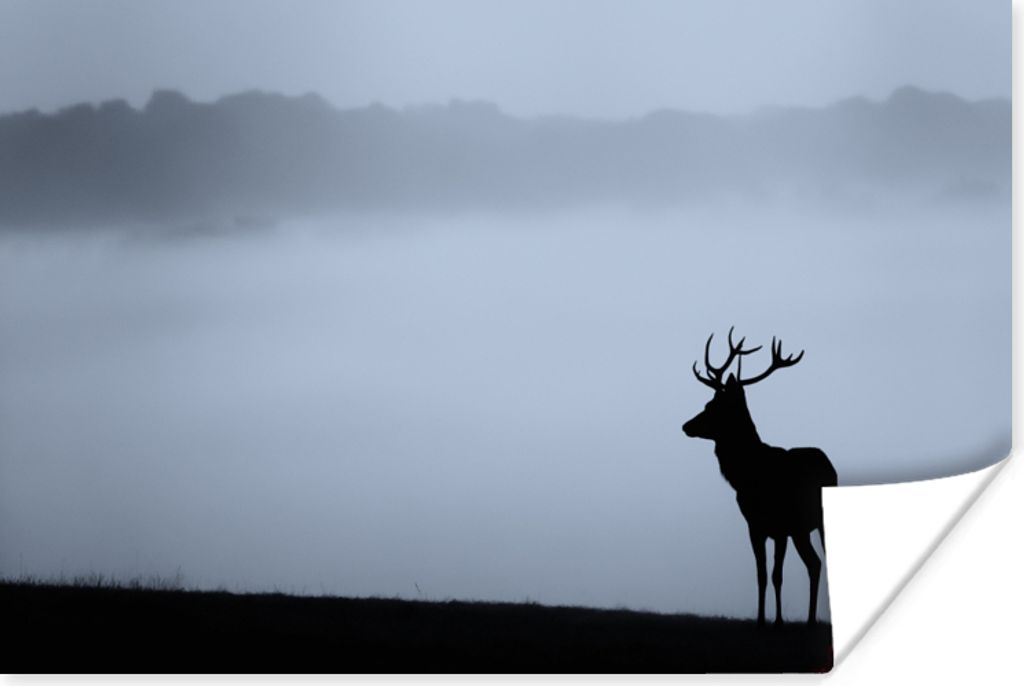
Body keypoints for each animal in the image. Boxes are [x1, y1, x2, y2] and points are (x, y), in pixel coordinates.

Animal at [682, 328, 837, 626]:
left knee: (820, 561)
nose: (686, 425)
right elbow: (762, 575)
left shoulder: (780, 526)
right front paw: (761, 619)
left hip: (812, 523)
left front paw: (777, 621)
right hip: (801, 530)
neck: (749, 475)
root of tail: (830, 467)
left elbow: (777, 575)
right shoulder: (755, 526)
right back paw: (811, 619)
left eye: (714, 405)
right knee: (814, 563)